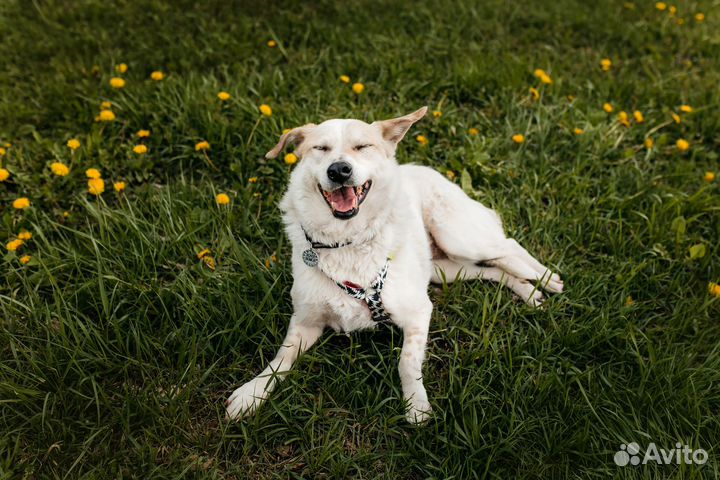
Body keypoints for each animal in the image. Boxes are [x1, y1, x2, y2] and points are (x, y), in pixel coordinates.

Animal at [225, 106, 564, 424]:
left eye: (362, 146)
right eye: (320, 148)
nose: (339, 170)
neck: (347, 243)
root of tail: (426, 170)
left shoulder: (419, 312)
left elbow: (407, 362)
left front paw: (416, 406)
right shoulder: (306, 321)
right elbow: (279, 360)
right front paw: (250, 394)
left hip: (457, 236)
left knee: (508, 247)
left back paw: (545, 277)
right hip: (445, 270)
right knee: (493, 269)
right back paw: (530, 292)